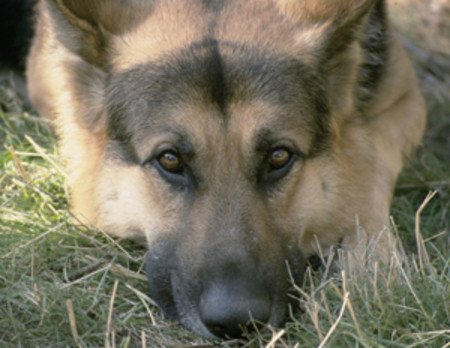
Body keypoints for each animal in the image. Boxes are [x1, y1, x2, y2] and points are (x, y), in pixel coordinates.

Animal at [3, 0, 428, 340]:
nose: (237, 321)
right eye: (170, 160)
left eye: (279, 157)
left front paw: (372, 267)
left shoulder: (403, 97)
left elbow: (368, 167)